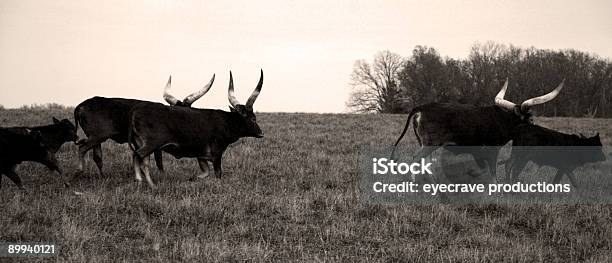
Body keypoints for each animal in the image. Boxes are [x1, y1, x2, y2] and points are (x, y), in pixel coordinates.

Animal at [74, 75, 214, 178]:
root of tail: (81, 105)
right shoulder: (154, 143)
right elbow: (158, 160)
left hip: (96, 138)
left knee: (97, 157)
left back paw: (102, 177)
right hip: (98, 136)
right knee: (82, 148)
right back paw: (79, 171)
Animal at [128, 71, 264, 189]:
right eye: (253, 119)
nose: (261, 133)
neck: (226, 121)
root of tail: (136, 112)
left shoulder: (201, 156)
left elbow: (205, 172)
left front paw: (192, 178)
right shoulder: (216, 154)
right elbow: (218, 173)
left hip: (144, 144)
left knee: (143, 161)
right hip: (152, 143)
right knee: (137, 155)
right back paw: (144, 182)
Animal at [392, 80, 564, 184]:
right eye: (530, 119)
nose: (534, 127)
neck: (503, 119)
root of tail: (422, 107)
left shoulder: (479, 151)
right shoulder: (492, 149)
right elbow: (492, 170)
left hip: (426, 143)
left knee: (424, 160)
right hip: (430, 143)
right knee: (416, 158)